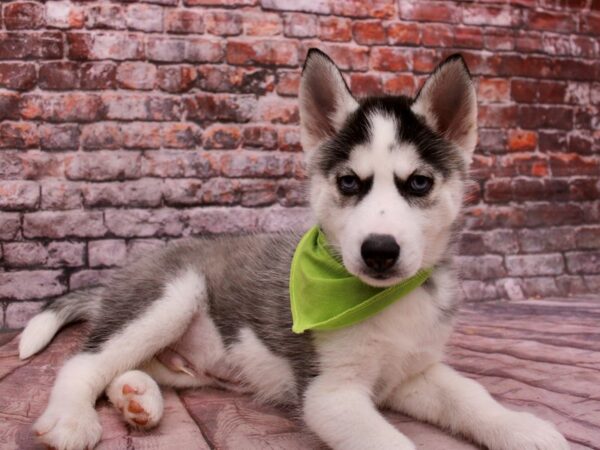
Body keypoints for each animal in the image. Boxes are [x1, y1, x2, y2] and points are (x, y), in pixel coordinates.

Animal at [19, 50, 568, 450]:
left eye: (418, 183)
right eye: (348, 182)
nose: (379, 251)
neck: (380, 301)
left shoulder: (412, 373)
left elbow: (470, 395)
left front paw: (521, 428)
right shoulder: (330, 393)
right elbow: (392, 442)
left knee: (122, 367)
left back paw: (138, 398)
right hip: (169, 297)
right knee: (83, 364)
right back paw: (72, 419)